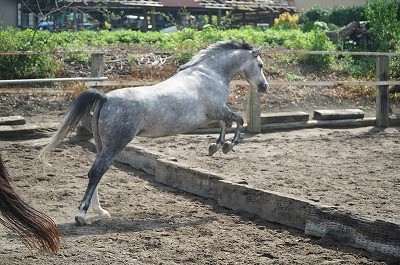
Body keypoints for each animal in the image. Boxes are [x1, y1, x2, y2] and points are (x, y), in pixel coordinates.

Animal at [39, 40, 268, 224]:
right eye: (260, 65)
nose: (264, 87)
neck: (209, 74)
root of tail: (106, 98)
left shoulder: (213, 115)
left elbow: (224, 124)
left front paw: (215, 146)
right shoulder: (218, 110)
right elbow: (238, 120)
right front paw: (227, 146)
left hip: (101, 144)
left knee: (94, 173)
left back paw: (100, 211)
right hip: (115, 145)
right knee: (96, 172)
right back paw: (81, 215)